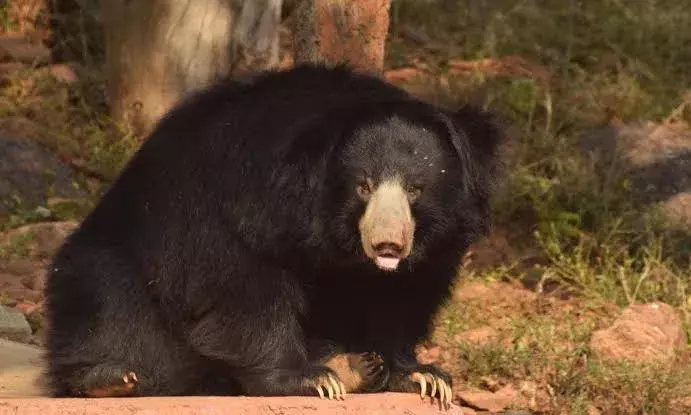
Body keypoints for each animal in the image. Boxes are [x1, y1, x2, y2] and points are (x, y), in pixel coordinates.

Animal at [44, 64, 503, 409]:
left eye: (415, 189)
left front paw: (423, 376)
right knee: (107, 297)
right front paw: (306, 380)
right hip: (114, 261)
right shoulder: (244, 202)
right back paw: (109, 377)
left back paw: (356, 366)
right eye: (363, 186)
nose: (387, 245)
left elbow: (401, 296)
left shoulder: (434, 246)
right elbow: (248, 287)